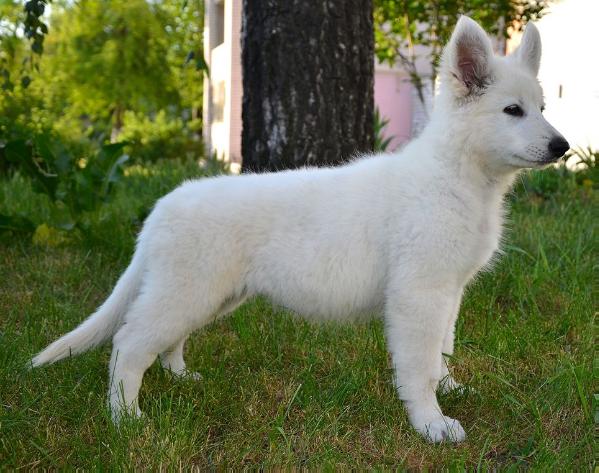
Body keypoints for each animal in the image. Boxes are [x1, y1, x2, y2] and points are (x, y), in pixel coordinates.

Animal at [32, 15, 572, 442]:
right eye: (513, 111)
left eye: (543, 108)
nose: (563, 147)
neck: (457, 175)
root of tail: (163, 206)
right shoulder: (419, 293)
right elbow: (418, 362)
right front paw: (432, 423)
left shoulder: (448, 291)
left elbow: (442, 348)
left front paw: (452, 389)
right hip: (188, 290)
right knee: (128, 345)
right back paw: (126, 419)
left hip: (209, 294)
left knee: (167, 340)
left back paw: (182, 379)